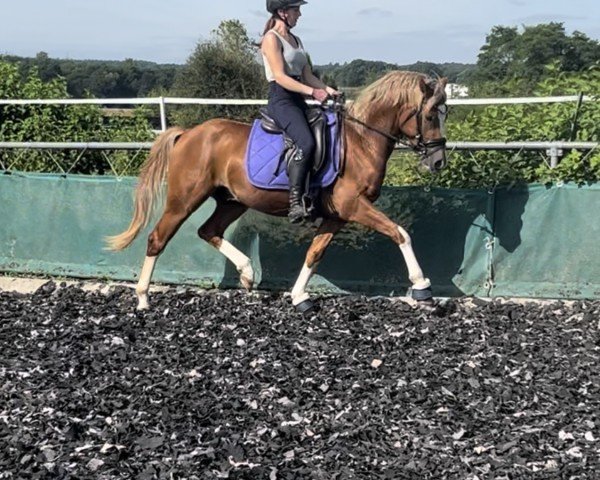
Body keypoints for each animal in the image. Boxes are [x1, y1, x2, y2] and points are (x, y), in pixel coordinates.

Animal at [105, 70, 448, 312]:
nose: (438, 161)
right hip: (184, 200)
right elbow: (400, 233)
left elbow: (315, 252)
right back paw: (143, 298)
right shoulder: (354, 205)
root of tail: (188, 134)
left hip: (232, 201)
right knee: (157, 238)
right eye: (431, 114)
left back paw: (246, 272)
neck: (362, 141)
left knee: (208, 230)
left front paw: (298, 296)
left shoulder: (338, 215)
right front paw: (422, 285)